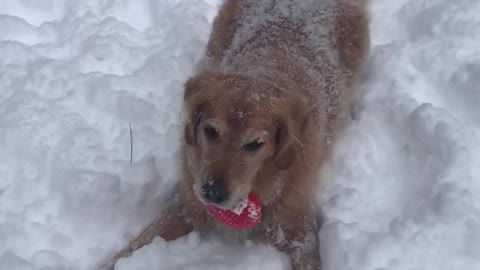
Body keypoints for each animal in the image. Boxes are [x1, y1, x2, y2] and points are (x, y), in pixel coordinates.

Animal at [107, 0, 370, 270]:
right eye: (210, 131)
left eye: (255, 144)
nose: (213, 192)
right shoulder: (188, 203)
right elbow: (137, 245)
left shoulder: (297, 228)